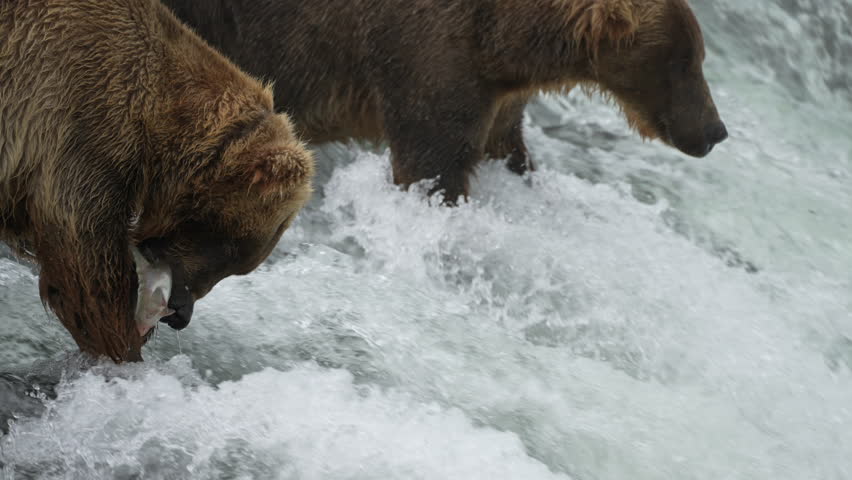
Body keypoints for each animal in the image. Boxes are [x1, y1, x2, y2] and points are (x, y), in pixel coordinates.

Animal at [0, 0, 314, 362]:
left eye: (240, 265)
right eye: (231, 248)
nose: (180, 312)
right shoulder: (80, 124)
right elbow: (86, 267)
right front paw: (124, 349)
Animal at [164, 0, 728, 204]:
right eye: (685, 62)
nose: (716, 130)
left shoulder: (496, 92)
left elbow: (506, 147)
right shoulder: (429, 56)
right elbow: (431, 164)